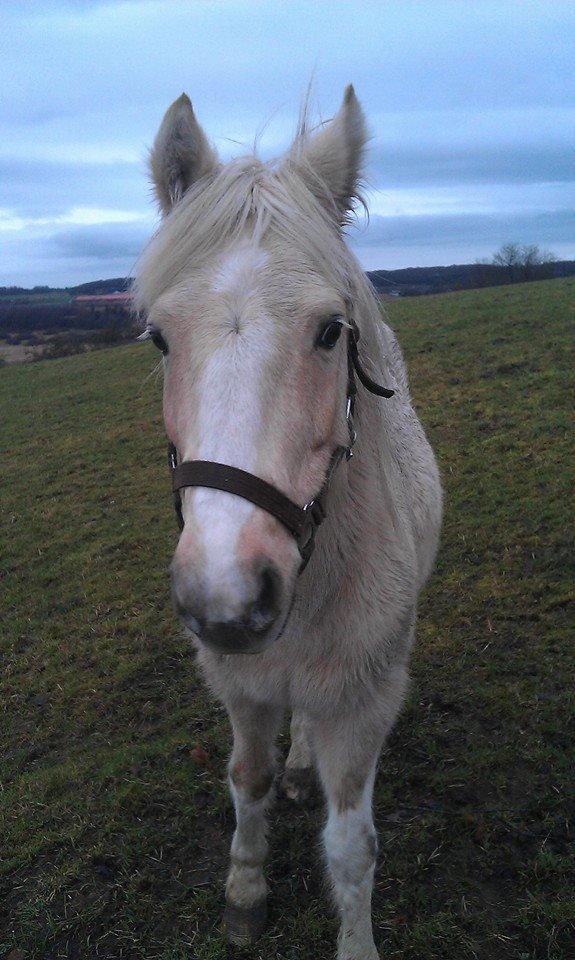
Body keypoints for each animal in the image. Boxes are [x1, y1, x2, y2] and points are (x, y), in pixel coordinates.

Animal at [134, 84, 440, 960]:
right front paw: (245, 890)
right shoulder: (239, 683)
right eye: (158, 338)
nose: (229, 596)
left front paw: (356, 942)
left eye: (330, 331)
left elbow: (351, 845)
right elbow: (248, 781)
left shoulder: (365, 699)